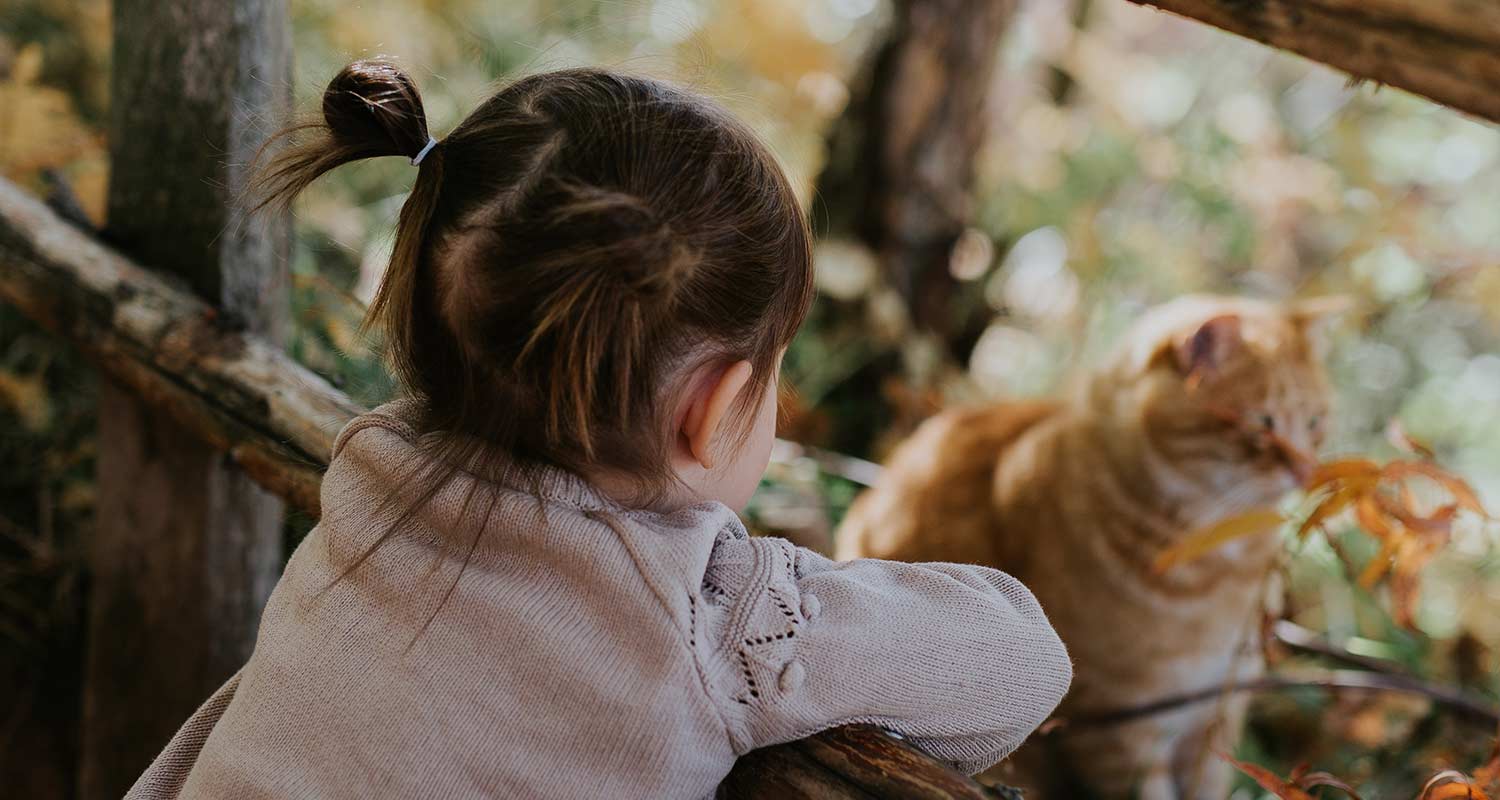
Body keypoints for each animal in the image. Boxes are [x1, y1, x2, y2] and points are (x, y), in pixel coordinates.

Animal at [834, 295, 1338, 798]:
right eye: (1262, 423)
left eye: (1315, 422)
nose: (1306, 471)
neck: (1217, 565)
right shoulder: (1118, 725)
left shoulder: (1214, 716)